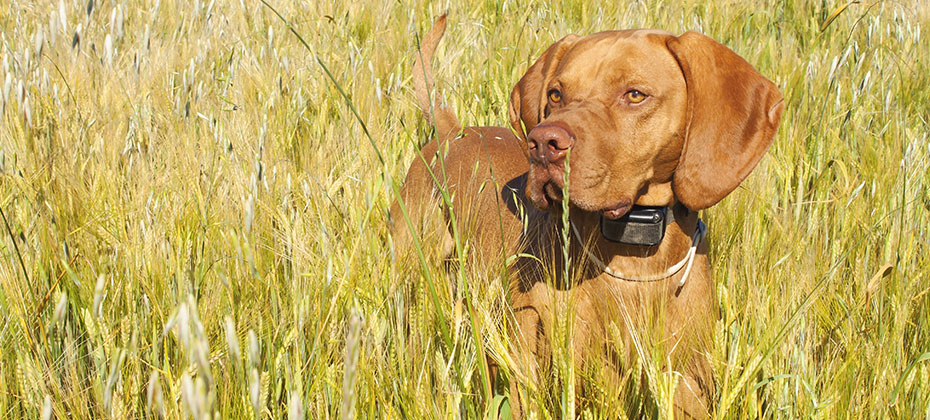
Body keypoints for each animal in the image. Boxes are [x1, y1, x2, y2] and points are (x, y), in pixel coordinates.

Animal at [392, 14, 784, 418]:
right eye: (555, 94)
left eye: (635, 95)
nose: (543, 143)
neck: (632, 254)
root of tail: (454, 131)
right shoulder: (529, 368)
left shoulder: (686, 379)